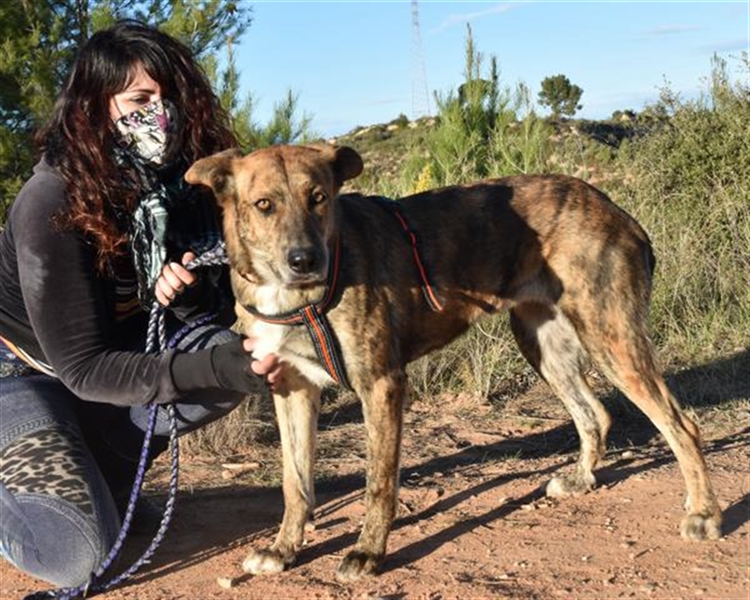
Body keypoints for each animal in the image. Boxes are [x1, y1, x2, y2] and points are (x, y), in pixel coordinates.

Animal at [185, 143, 721, 582]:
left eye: (319, 197)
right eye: (264, 205)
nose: (304, 259)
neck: (296, 296)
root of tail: (614, 208)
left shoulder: (381, 383)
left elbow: (379, 483)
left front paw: (368, 553)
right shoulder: (292, 387)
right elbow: (295, 483)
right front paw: (283, 549)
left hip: (610, 336)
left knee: (681, 425)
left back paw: (705, 512)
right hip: (542, 343)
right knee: (597, 413)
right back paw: (581, 478)